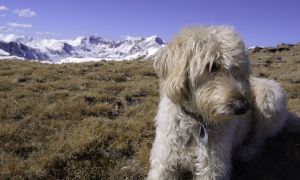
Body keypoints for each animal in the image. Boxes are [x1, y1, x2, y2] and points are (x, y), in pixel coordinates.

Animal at [148, 25, 288, 180]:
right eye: (212, 66)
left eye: (239, 69)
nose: (243, 107)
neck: (195, 121)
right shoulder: (164, 161)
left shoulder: (213, 167)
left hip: (269, 95)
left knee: (259, 137)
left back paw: (247, 151)